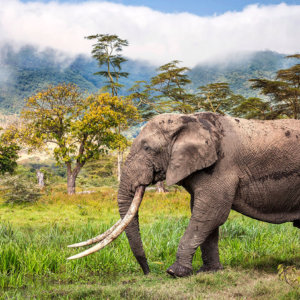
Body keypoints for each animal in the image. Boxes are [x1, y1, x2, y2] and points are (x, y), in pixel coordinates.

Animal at [68, 113, 300, 278]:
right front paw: (209, 272)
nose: (148, 272)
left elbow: (210, 213)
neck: (189, 119)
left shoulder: (222, 166)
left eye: (147, 148)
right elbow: (205, 214)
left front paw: (174, 272)